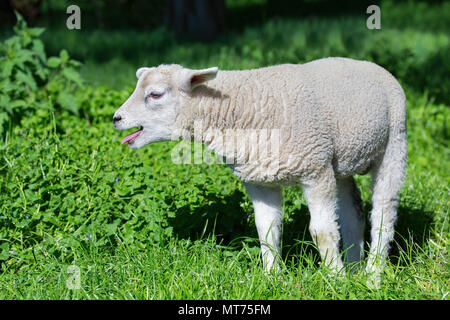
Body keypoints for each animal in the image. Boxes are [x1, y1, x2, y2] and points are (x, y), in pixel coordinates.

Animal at [113, 57, 408, 272]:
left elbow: (322, 232)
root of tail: (371, 64)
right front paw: (273, 278)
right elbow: (266, 229)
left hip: (395, 142)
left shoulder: (316, 170)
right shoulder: (259, 179)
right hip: (341, 161)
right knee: (353, 213)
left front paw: (334, 278)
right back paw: (355, 267)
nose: (116, 118)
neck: (244, 106)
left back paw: (372, 274)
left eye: (155, 94)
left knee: (384, 213)